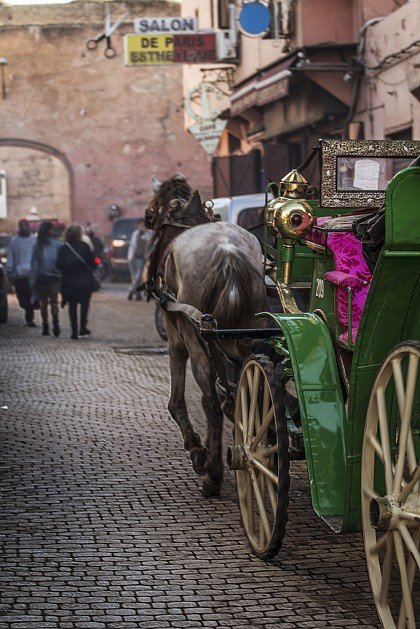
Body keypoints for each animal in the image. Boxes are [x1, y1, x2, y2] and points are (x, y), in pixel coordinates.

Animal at [146, 174, 268, 498]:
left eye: (152, 210)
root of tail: (228, 252)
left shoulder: (175, 336)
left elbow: (176, 401)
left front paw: (196, 449)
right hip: (249, 327)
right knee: (251, 387)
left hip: (194, 332)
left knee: (209, 401)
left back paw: (213, 474)